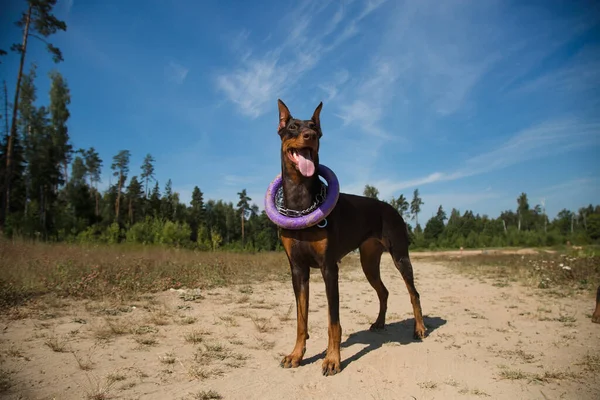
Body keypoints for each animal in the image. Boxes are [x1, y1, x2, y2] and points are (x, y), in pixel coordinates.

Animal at [276, 99, 426, 376]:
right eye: (292, 127)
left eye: (314, 127)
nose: (310, 135)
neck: (302, 201)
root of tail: (390, 208)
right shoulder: (297, 270)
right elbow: (301, 319)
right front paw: (296, 355)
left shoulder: (329, 268)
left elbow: (333, 321)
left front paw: (332, 359)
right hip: (368, 262)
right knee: (384, 291)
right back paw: (379, 322)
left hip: (400, 256)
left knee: (414, 293)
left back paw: (420, 328)